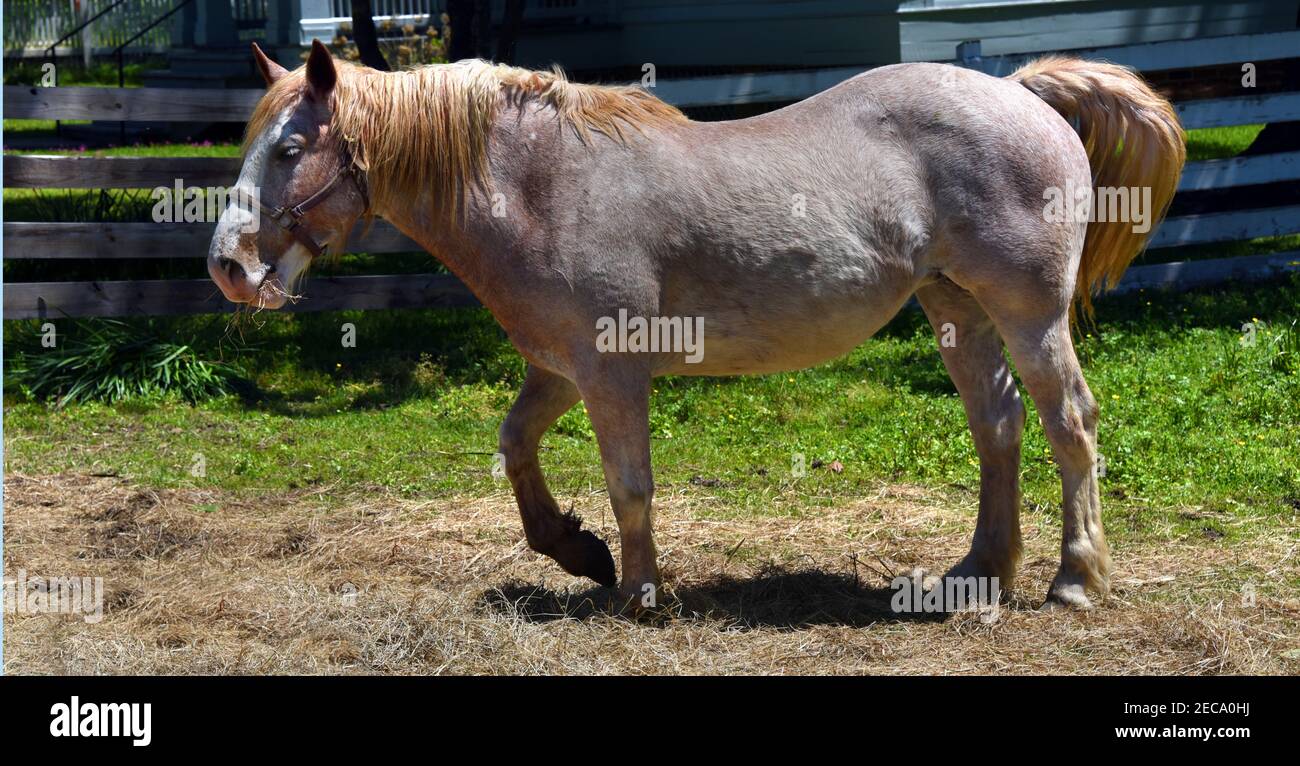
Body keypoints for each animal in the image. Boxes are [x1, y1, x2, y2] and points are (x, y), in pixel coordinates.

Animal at [208, 40, 1185, 608]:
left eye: (289, 149)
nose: (229, 265)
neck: (543, 186)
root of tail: (1024, 93)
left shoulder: (611, 373)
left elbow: (629, 484)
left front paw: (639, 589)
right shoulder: (560, 370)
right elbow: (517, 446)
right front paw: (577, 553)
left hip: (1029, 314)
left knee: (1070, 425)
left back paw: (1074, 579)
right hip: (958, 311)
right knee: (1000, 427)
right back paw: (980, 572)